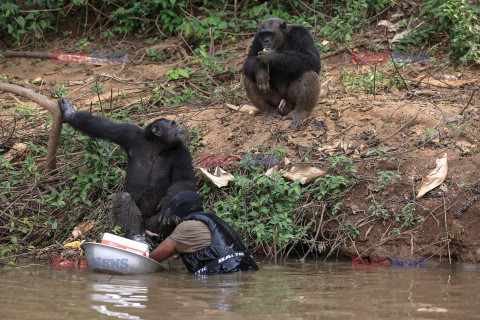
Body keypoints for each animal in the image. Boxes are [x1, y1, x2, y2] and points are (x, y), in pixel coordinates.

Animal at [58, 99, 197, 241]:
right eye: (173, 124)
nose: (180, 128)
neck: (157, 146)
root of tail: (145, 230)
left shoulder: (182, 152)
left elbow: (186, 179)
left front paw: (168, 202)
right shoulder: (129, 134)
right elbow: (101, 127)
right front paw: (69, 113)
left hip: (152, 227)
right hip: (118, 224)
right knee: (124, 199)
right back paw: (136, 236)